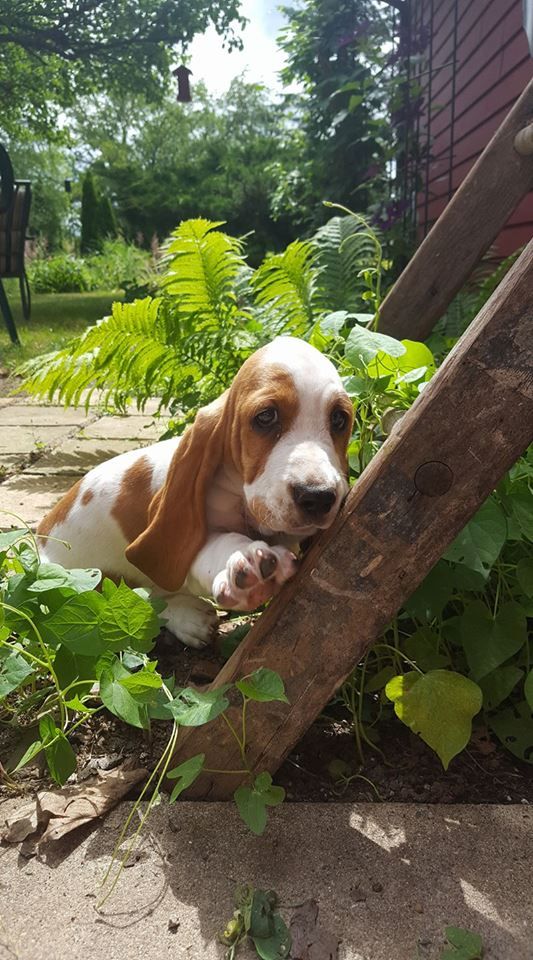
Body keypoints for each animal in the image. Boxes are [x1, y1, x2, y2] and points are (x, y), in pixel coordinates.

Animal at [38, 336, 354, 644]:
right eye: (266, 417)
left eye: (339, 419)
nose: (318, 496)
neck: (241, 500)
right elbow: (216, 546)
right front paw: (250, 568)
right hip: (75, 579)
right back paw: (188, 617)